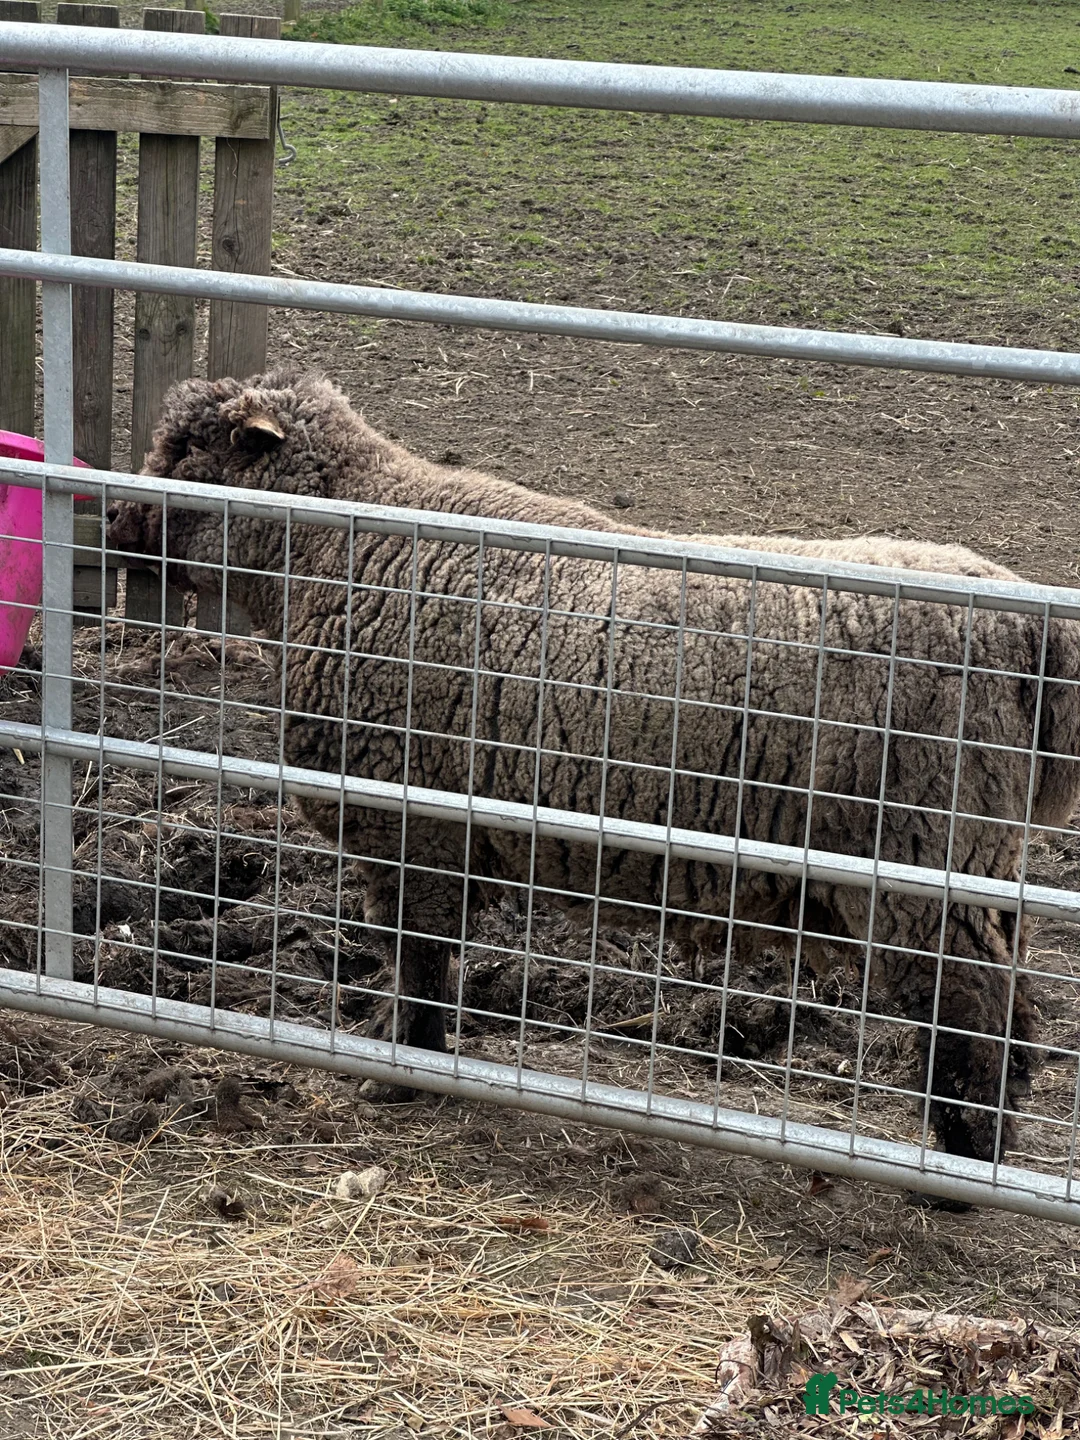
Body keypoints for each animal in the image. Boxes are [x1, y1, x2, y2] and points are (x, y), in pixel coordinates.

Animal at [107, 369, 1080, 1164]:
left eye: (187, 450)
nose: (113, 519)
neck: (336, 547)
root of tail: (1033, 630)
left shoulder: (414, 825)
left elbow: (419, 956)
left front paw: (395, 1065)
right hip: (979, 858)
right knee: (1016, 1006)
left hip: (921, 856)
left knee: (975, 1008)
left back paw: (959, 1164)